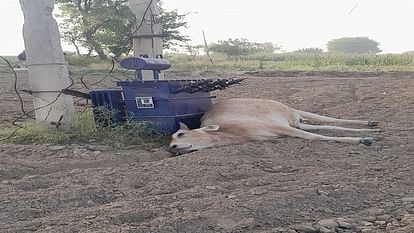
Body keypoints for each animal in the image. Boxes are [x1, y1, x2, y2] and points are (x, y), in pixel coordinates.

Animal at [167, 97, 380, 156]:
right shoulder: (284, 131)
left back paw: (371, 126)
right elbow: (320, 134)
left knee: (327, 119)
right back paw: (372, 126)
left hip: (295, 114)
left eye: (181, 134)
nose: (171, 148)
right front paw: (365, 137)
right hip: (297, 122)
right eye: (171, 139)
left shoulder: (280, 128)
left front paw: (364, 139)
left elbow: (317, 137)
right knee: (325, 125)